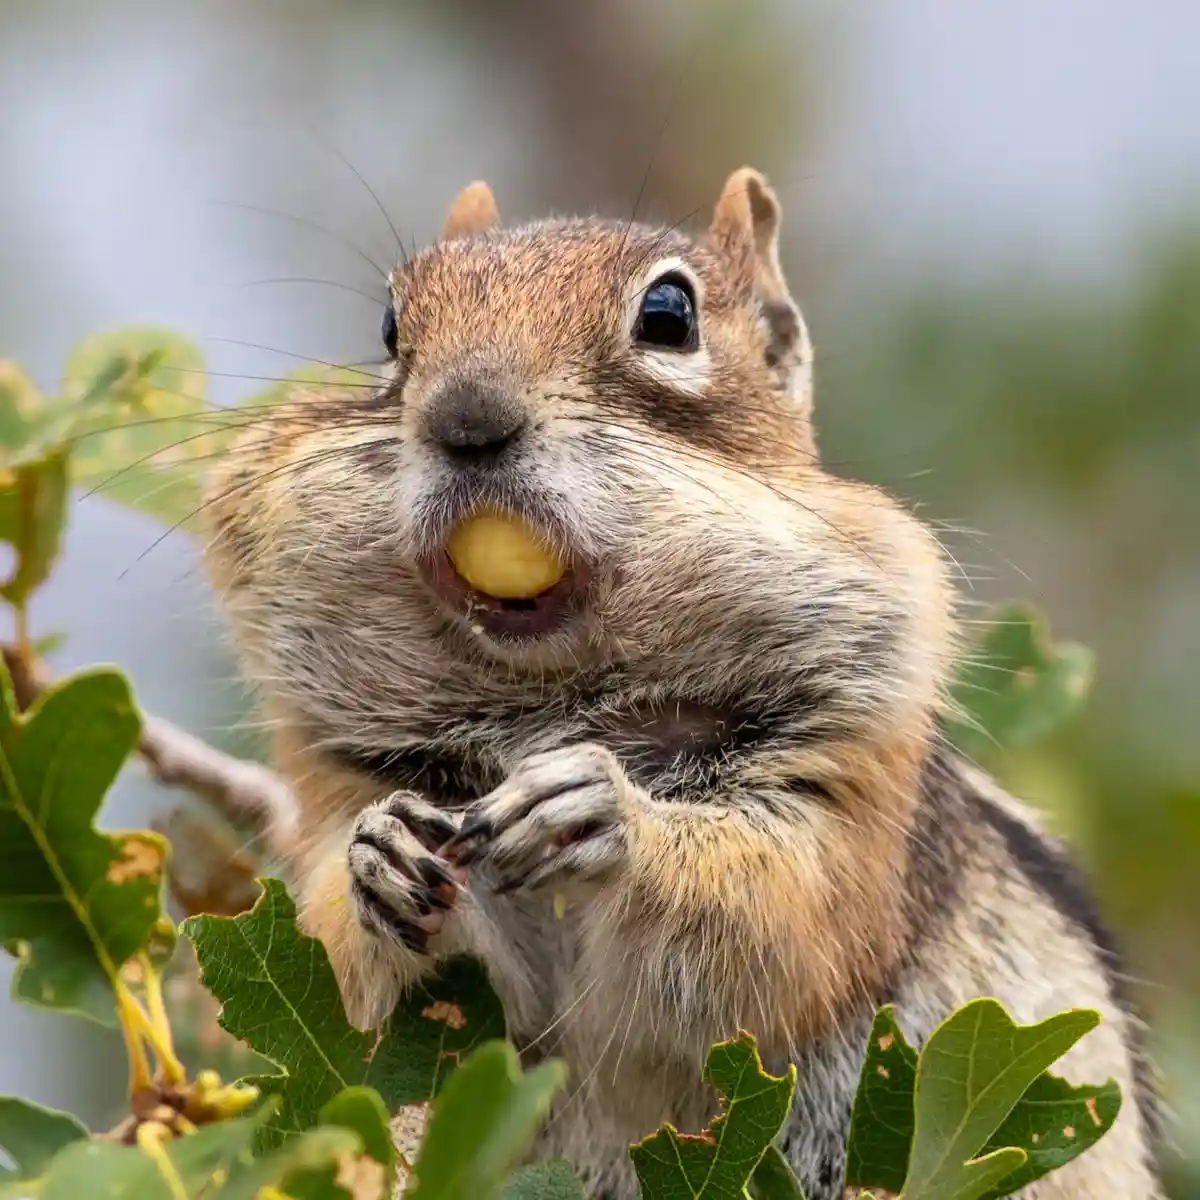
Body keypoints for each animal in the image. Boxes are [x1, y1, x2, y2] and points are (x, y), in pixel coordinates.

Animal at [203, 168, 1164, 1199]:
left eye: (669, 315)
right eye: (389, 326)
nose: (465, 417)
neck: (548, 696)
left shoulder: (846, 776)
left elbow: (772, 920)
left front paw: (604, 816)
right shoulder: (346, 780)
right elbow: (377, 983)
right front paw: (377, 855)